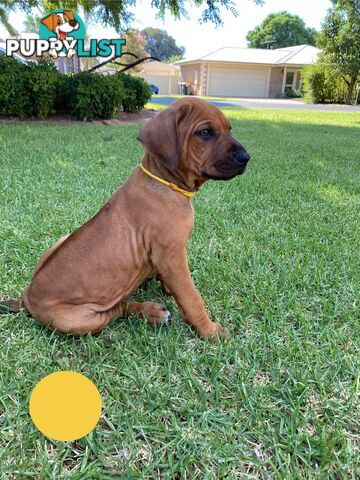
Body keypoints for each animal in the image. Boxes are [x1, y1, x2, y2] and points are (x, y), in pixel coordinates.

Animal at [2, 97, 250, 338]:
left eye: (229, 129)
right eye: (205, 132)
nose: (246, 157)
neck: (165, 182)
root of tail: (27, 297)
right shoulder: (172, 257)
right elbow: (191, 297)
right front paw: (210, 330)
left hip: (61, 239)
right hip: (76, 320)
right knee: (116, 309)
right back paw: (151, 312)